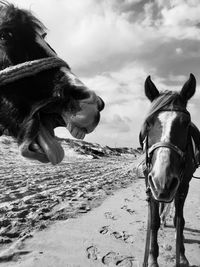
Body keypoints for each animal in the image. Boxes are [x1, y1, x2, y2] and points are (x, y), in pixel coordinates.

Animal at [140, 74, 199, 267]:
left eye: (186, 123)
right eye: (148, 123)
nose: (163, 180)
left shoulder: (182, 186)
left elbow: (179, 220)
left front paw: (181, 255)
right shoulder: (150, 183)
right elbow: (154, 222)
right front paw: (152, 257)